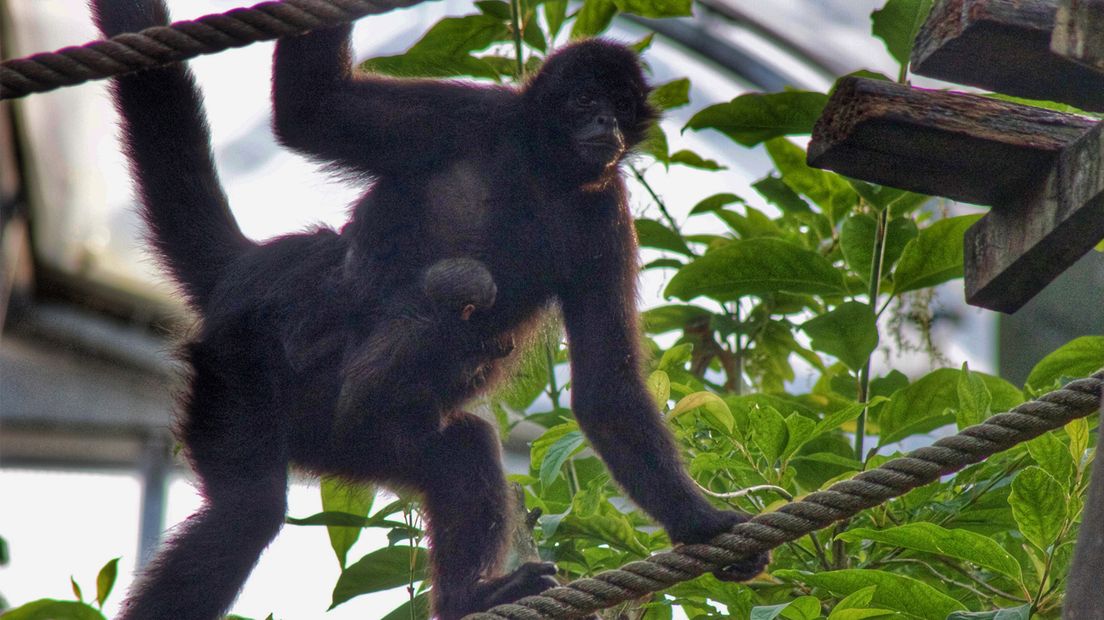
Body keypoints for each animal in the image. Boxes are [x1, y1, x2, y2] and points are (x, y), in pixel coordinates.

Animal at [92, 0, 768, 613]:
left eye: (622, 105)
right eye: (583, 100)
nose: (606, 119)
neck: (541, 170)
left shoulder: (606, 209)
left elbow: (608, 390)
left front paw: (703, 526)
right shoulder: (472, 116)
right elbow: (310, 109)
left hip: (349, 438)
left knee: (461, 450)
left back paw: (469, 598)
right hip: (238, 366)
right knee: (246, 511)